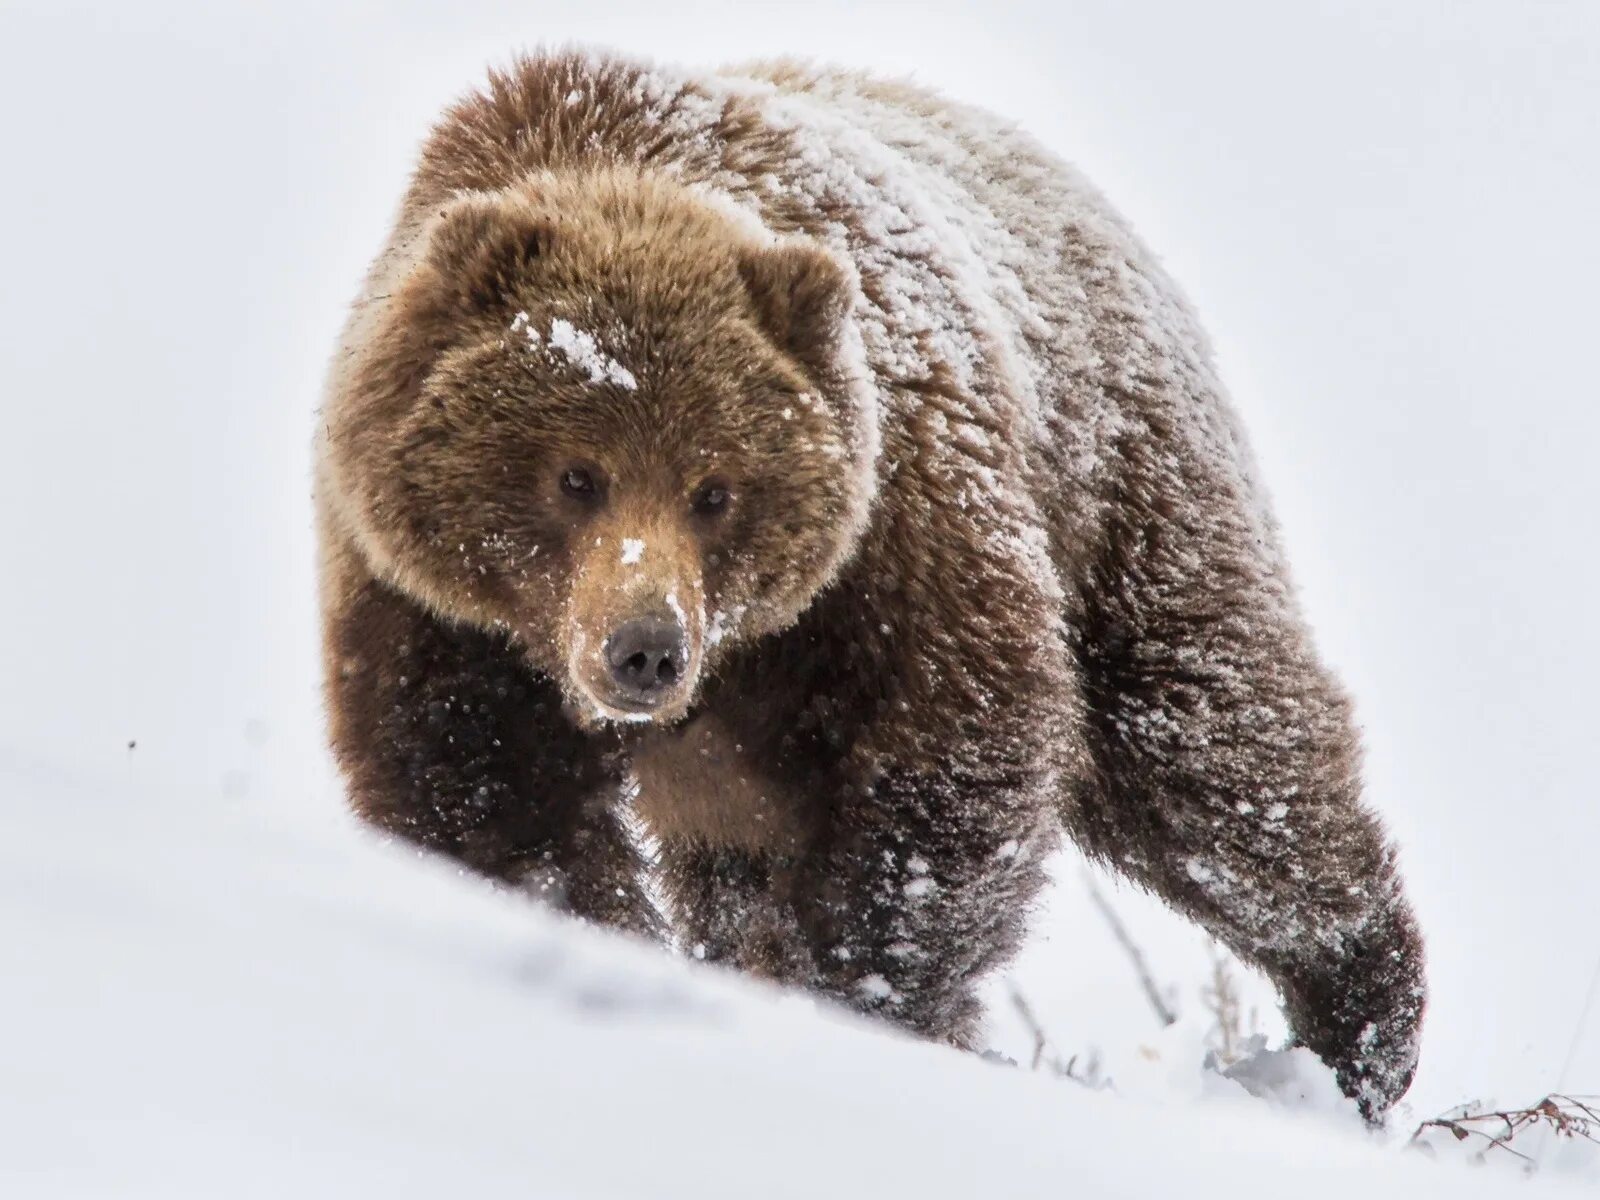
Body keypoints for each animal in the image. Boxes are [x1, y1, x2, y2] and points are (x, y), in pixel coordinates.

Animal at [312, 47, 1427, 1120]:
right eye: (575, 475)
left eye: (715, 488)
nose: (645, 649)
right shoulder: (435, 611)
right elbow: (491, 806)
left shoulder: (896, 530)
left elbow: (947, 758)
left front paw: (859, 995)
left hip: (1125, 492)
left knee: (1213, 758)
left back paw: (1362, 1022)